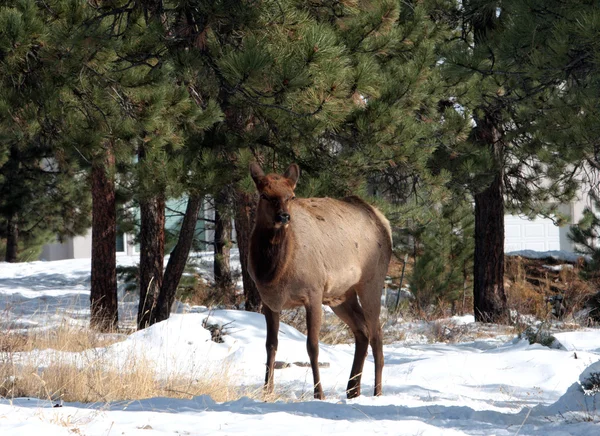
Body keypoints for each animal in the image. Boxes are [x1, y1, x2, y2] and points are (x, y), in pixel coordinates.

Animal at [246, 163, 392, 398]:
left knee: (377, 333)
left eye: (291, 195)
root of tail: (383, 220)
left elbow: (312, 346)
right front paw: (267, 391)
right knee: (362, 330)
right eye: (264, 195)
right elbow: (271, 345)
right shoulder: (269, 302)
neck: (274, 272)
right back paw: (352, 389)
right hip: (340, 295)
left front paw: (319, 393)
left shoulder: (313, 294)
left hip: (371, 281)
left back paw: (376, 392)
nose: (284, 216)